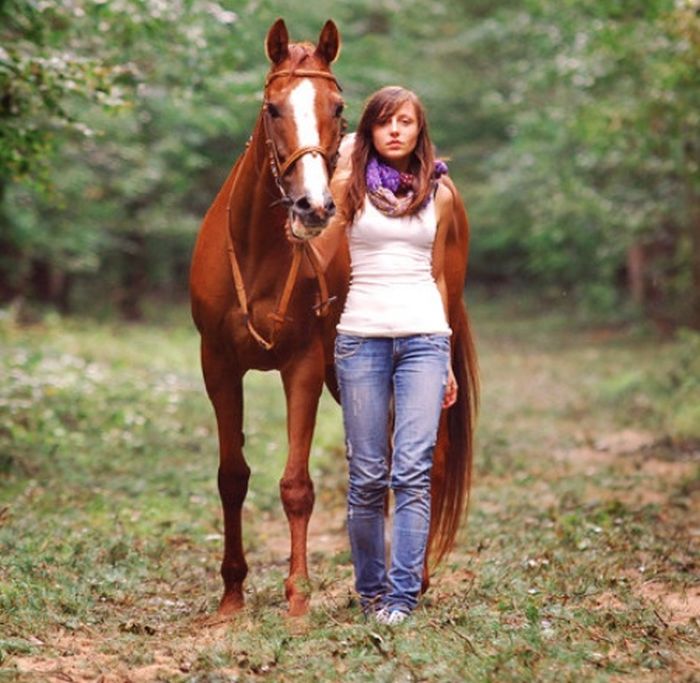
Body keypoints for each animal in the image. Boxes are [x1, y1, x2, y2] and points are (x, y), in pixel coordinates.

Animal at [189, 18, 478, 620]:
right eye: (272, 107)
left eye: (339, 107)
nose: (314, 207)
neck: (258, 252)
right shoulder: (217, 365)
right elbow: (232, 477)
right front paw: (232, 594)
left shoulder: (300, 367)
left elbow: (296, 485)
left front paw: (298, 598)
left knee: (431, 461)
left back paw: (416, 582)